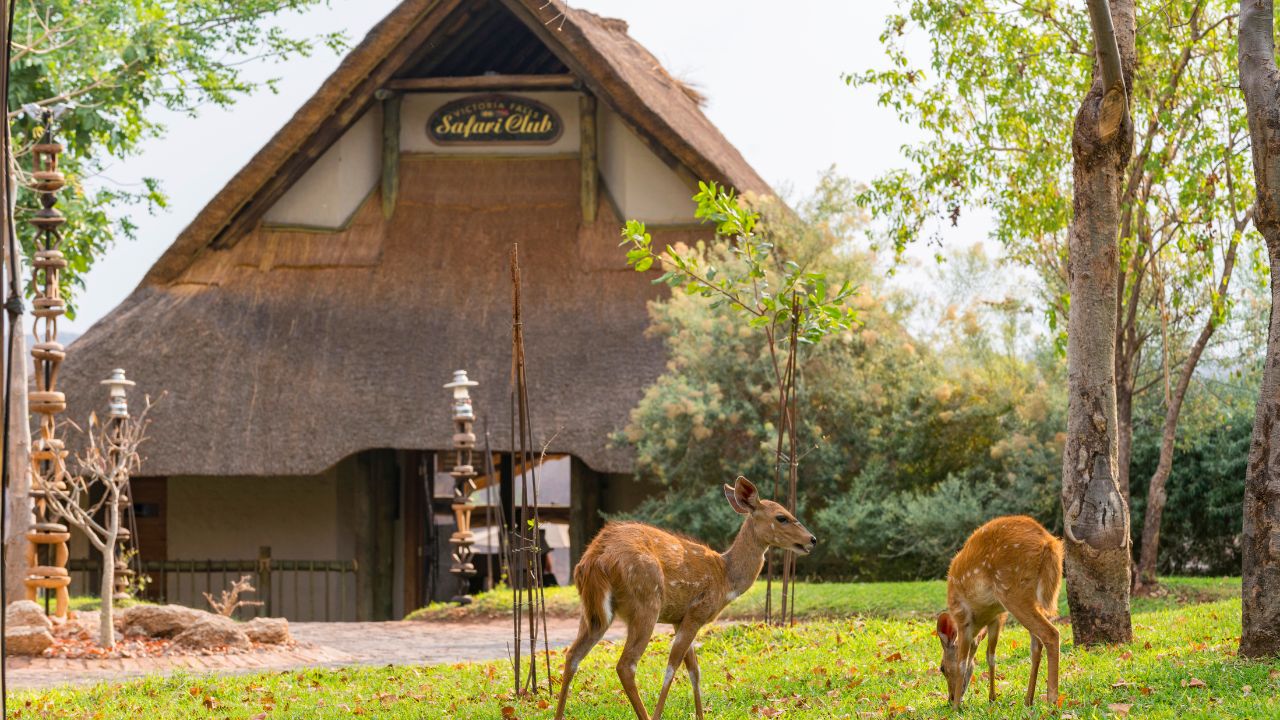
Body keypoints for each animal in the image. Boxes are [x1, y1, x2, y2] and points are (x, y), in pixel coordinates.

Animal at [554, 476, 817, 720]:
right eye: (781, 517)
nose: (811, 539)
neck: (726, 577)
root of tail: (595, 559)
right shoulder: (698, 611)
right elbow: (673, 666)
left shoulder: (679, 618)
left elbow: (694, 670)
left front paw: (700, 715)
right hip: (646, 603)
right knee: (626, 665)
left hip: (592, 612)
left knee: (572, 656)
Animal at [936, 515, 1063, 710]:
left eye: (942, 668)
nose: (949, 699)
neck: (981, 617)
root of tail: (1049, 542)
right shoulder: (997, 617)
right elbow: (990, 655)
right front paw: (992, 698)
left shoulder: (963, 618)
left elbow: (962, 663)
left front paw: (958, 707)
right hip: (1032, 597)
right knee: (1036, 645)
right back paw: (1028, 699)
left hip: (1013, 591)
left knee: (1051, 634)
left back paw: (1051, 701)